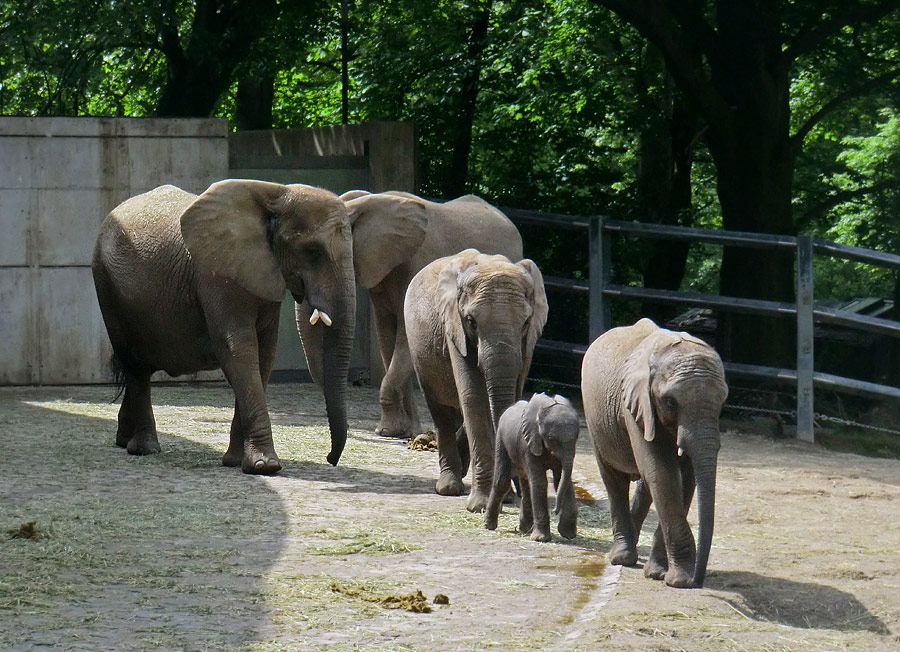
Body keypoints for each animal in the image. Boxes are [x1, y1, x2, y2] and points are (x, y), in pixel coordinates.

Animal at [92, 178, 356, 474]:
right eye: (313, 252)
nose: (330, 459)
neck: (274, 194)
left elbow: (264, 354)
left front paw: (236, 461)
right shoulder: (217, 274)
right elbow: (238, 348)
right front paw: (265, 466)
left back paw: (123, 440)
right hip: (107, 286)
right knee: (134, 364)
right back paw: (145, 449)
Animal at [402, 247, 544, 512]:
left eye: (526, 322)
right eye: (471, 322)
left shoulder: (528, 342)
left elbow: (512, 395)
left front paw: (506, 497)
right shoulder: (454, 328)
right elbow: (473, 397)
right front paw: (481, 505)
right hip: (419, 350)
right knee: (441, 412)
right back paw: (448, 487)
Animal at [488, 392, 580, 540]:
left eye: (577, 437)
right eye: (551, 438)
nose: (555, 511)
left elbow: (560, 479)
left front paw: (568, 534)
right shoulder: (528, 443)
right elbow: (540, 482)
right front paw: (540, 539)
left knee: (526, 486)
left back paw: (524, 531)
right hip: (501, 439)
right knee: (502, 481)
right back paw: (489, 526)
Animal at [580, 318, 728, 588]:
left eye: (722, 402)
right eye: (670, 402)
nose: (698, 580)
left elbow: (685, 479)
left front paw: (660, 574)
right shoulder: (636, 405)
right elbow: (664, 475)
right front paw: (679, 581)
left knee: (645, 483)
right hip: (594, 417)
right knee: (614, 480)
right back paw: (621, 557)